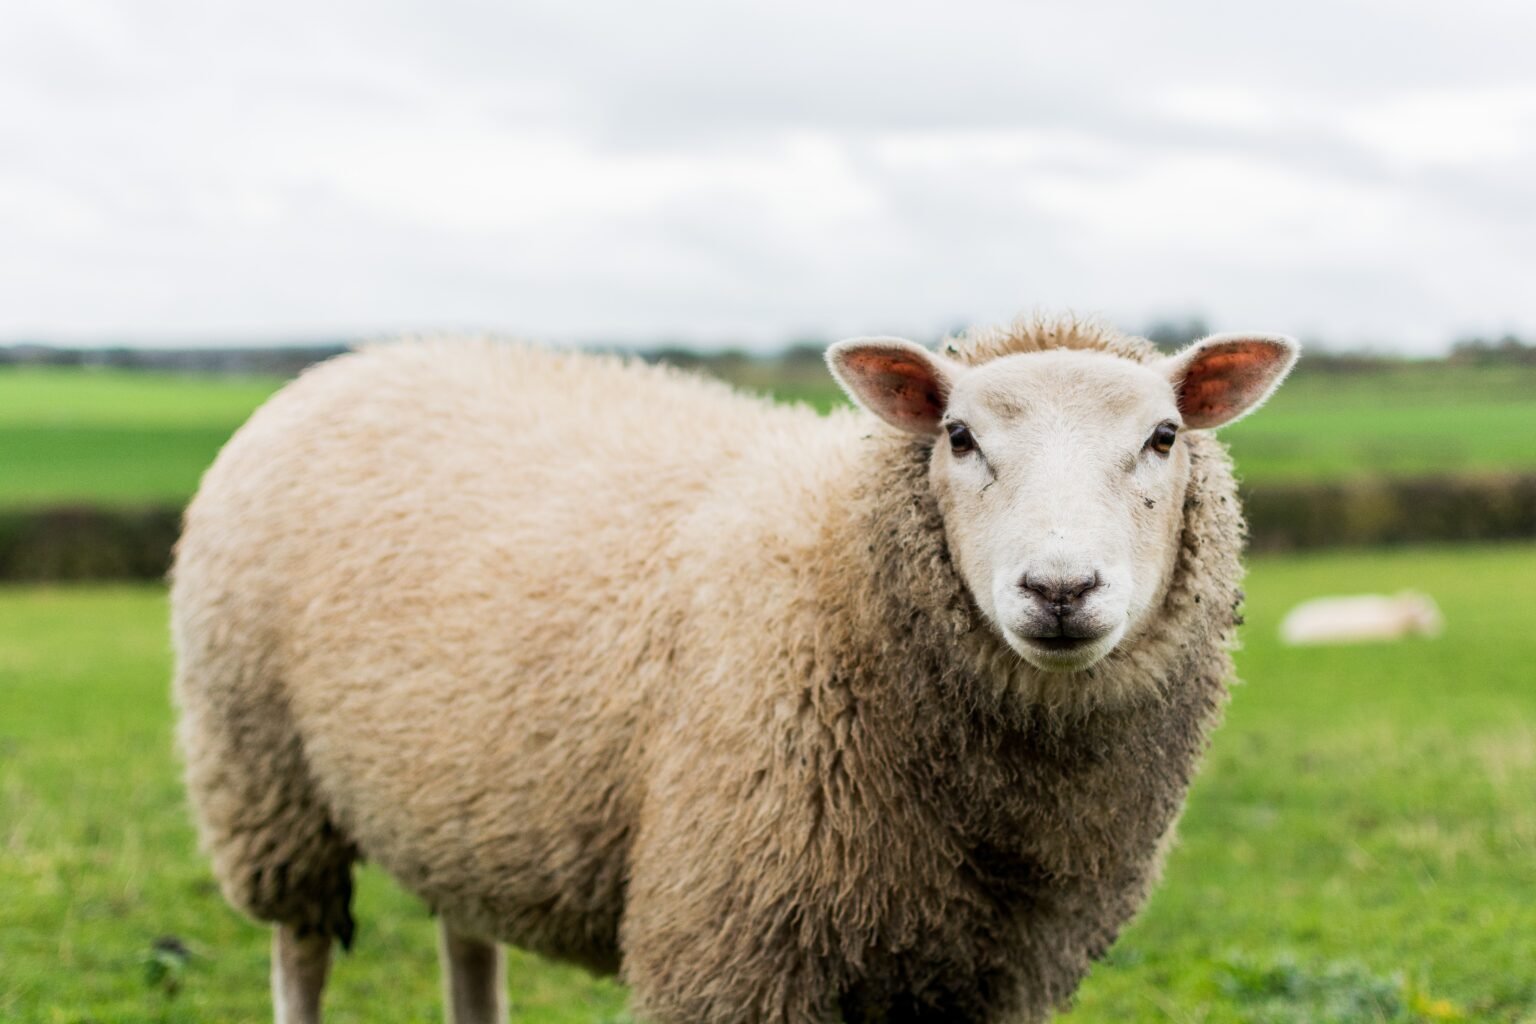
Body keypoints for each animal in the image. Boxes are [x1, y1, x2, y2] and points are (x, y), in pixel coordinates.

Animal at [171, 315, 1297, 1024]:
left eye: (1164, 436)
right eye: (959, 435)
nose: (1060, 588)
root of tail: (352, 361)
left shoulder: (983, 974)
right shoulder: (733, 942)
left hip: (457, 797)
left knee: (466, 940)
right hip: (263, 774)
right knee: (300, 948)